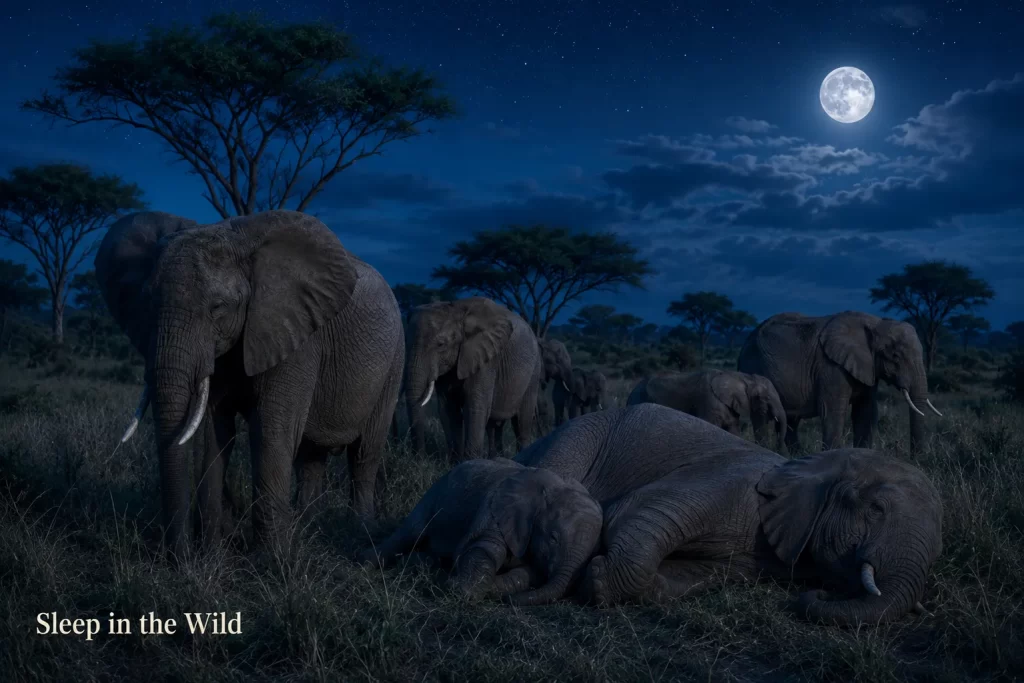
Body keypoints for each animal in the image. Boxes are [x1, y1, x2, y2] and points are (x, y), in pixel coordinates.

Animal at [96, 210, 405, 557]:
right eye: (147, 302)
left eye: (218, 307)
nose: (178, 558)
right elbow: (215, 431)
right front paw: (212, 556)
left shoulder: (295, 336)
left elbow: (271, 431)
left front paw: (270, 560)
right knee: (310, 458)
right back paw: (307, 527)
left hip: (394, 361)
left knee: (365, 453)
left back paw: (360, 530)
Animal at [359, 458, 602, 605]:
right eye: (553, 538)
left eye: (592, 555)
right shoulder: (496, 507)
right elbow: (486, 547)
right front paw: (460, 590)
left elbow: (527, 574)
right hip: (435, 493)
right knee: (410, 532)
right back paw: (365, 563)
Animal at [404, 297, 543, 461]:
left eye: (441, 344)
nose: (420, 459)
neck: (456, 310)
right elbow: (448, 409)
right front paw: (455, 463)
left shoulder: (486, 359)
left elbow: (475, 406)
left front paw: (468, 462)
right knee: (494, 426)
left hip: (534, 372)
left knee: (521, 423)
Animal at [515, 404, 943, 626]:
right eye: (876, 509)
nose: (820, 592)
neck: (814, 466)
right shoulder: (729, 483)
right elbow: (631, 513)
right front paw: (598, 584)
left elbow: (696, 574)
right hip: (574, 438)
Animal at [737, 311, 942, 452]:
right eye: (895, 356)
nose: (917, 459)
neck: (876, 323)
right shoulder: (830, 367)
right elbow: (833, 411)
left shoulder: (868, 368)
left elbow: (866, 412)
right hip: (753, 367)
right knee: (762, 418)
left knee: (790, 422)